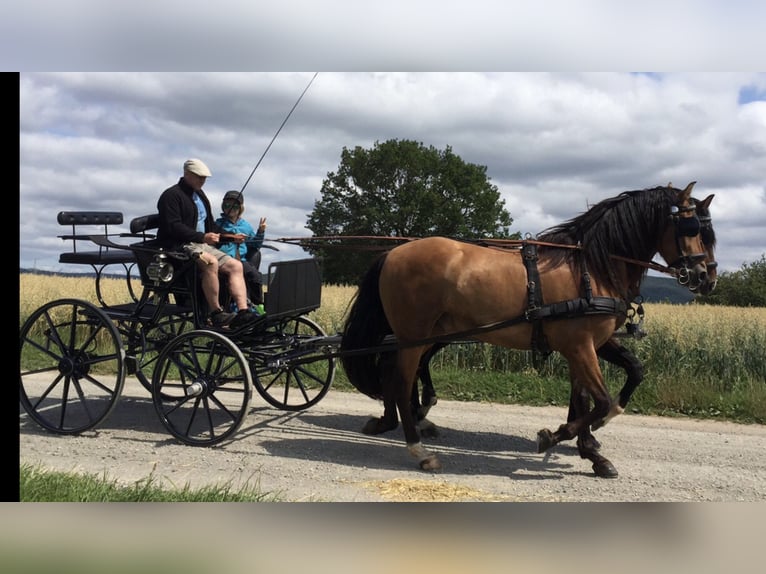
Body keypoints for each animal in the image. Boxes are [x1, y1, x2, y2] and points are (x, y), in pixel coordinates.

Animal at [340, 182, 712, 480]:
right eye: (690, 226)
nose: (705, 277)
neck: (591, 268)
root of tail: (393, 252)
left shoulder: (590, 343)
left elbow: (613, 383)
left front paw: (591, 447)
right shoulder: (580, 345)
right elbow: (600, 401)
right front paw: (557, 436)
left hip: (426, 335)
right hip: (412, 336)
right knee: (401, 382)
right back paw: (419, 448)